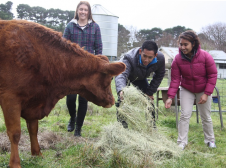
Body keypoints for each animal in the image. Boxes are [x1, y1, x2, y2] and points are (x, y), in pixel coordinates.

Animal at [0, 20, 125, 168]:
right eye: (110, 78)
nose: (112, 100)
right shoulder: (10, 98)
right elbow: (15, 133)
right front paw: (15, 163)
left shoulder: (34, 100)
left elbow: (33, 129)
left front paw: (37, 153)